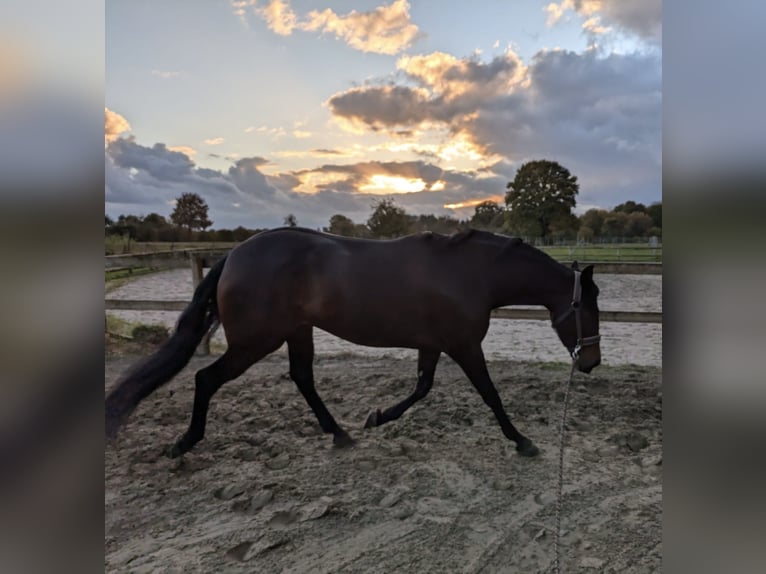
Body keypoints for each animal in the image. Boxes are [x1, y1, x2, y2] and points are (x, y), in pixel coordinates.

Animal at [105, 228, 604, 460]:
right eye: (592, 307)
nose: (592, 362)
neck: (471, 274)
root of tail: (234, 255)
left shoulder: (434, 344)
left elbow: (422, 388)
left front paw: (376, 417)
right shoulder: (464, 345)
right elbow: (490, 395)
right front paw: (523, 442)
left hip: (295, 332)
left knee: (302, 377)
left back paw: (341, 434)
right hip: (255, 341)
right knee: (207, 378)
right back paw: (184, 443)